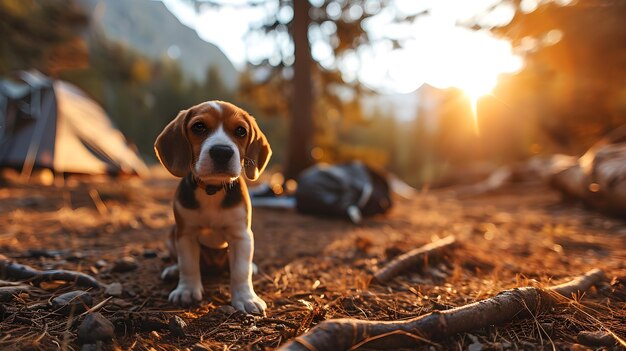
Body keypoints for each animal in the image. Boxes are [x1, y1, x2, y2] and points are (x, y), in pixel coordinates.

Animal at [154, 100, 270, 314]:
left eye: (241, 131)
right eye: (198, 127)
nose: (222, 152)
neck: (212, 190)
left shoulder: (241, 235)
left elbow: (241, 271)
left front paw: (246, 298)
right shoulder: (186, 233)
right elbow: (188, 265)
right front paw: (187, 290)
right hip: (172, 234)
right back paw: (173, 270)